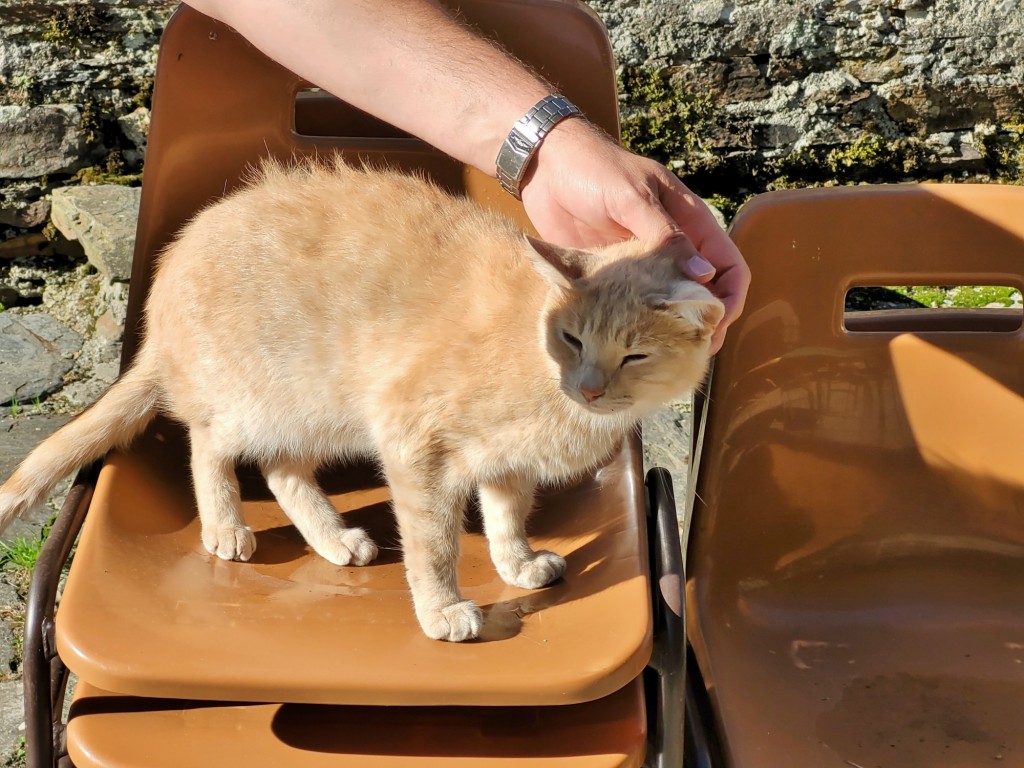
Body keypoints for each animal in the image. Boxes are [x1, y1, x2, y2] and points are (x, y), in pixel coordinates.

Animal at [0, 160, 720, 643]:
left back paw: (333, 538)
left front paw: (515, 562)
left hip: (315, 414)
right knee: (209, 446)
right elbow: (433, 544)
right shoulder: (414, 442)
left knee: (282, 470)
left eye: (633, 355)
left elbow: (507, 519)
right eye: (572, 339)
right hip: (261, 398)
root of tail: (160, 302)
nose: (589, 386)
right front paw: (442, 608)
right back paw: (226, 525)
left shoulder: (506, 464)